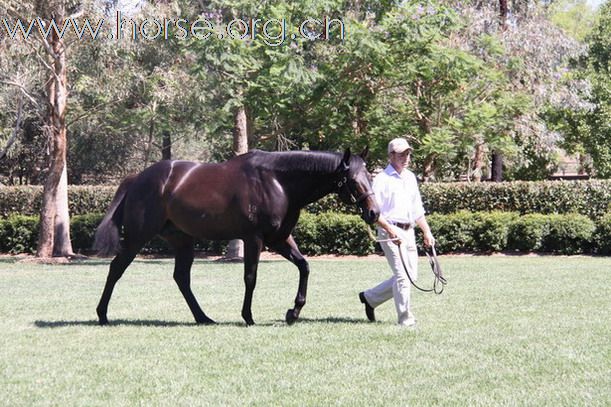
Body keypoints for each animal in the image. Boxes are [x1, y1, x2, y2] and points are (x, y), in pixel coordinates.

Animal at [93, 148, 380, 326]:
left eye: (370, 176)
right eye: (354, 181)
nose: (374, 213)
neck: (279, 181)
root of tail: (137, 178)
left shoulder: (279, 239)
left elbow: (304, 266)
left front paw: (293, 312)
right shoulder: (254, 239)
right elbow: (250, 277)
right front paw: (248, 316)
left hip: (183, 241)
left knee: (181, 278)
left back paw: (203, 317)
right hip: (137, 238)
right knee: (116, 269)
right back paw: (102, 314)